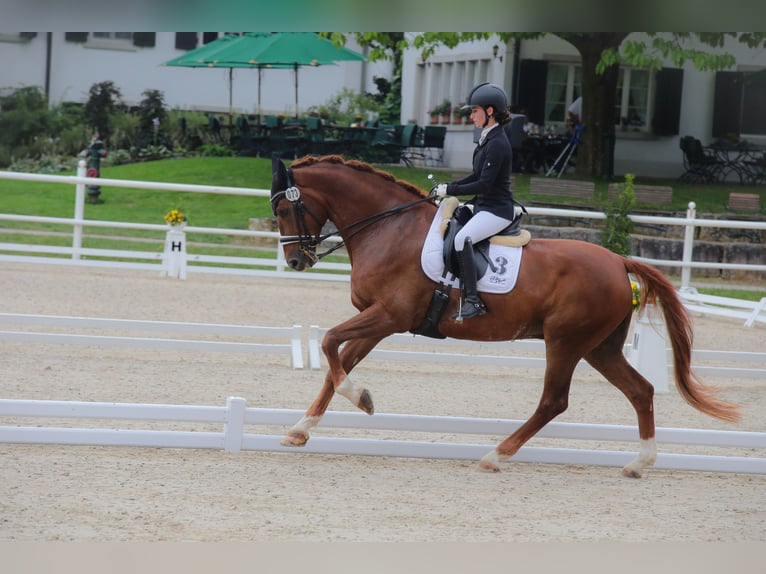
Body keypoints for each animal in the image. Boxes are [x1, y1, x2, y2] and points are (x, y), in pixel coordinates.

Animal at [269, 154, 740, 477]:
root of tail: (618, 261)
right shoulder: (379, 319)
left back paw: (496, 455)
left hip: (565, 341)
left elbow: (330, 342)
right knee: (640, 390)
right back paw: (640, 462)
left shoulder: (389, 315)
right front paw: (301, 428)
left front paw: (362, 399)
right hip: (600, 347)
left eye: (283, 210)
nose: (295, 261)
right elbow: (338, 362)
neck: (389, 229)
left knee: (554, 400)